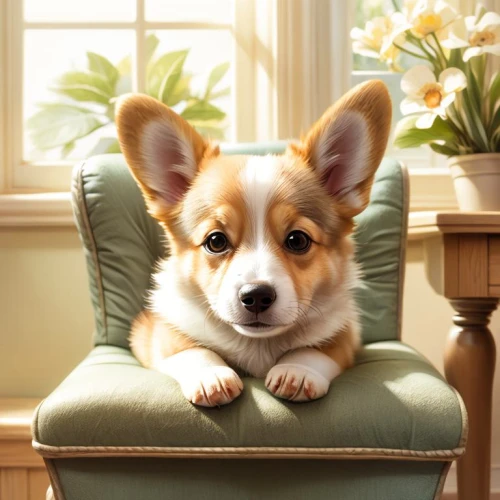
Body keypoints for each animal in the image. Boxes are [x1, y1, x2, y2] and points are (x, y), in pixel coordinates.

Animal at [116, 78, 390, 406]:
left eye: (297, 240)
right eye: (216, 241)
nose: (257, 296)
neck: (258, 345)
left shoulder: (346, 335)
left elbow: (318, 349)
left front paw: (297, 371)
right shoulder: (155, 334)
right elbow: (190, 349)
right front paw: (211, 376)